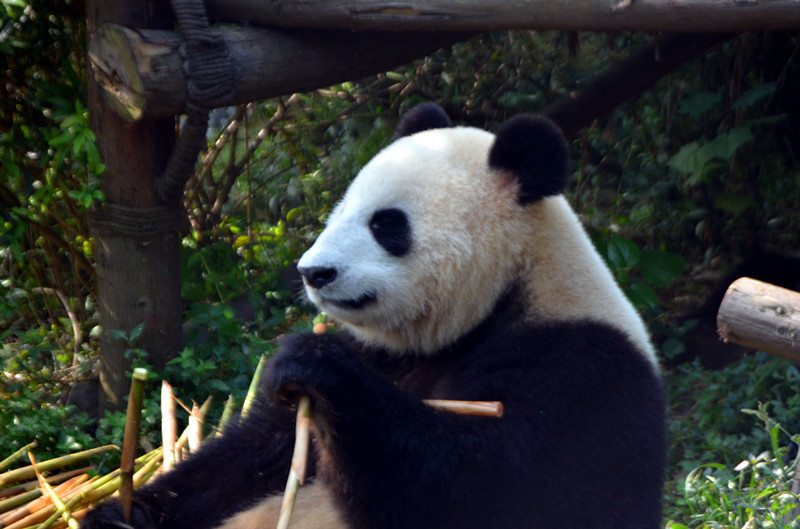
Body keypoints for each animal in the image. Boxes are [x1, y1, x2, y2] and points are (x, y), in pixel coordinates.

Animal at [83, 103, 668, 528]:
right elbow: (252, 457)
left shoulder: (578, 370)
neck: (506, 294)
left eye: (387, 224)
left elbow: (482, 490)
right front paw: (119, 514)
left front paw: (312, 362)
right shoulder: (382, 351)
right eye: (340, 210)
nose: (313, 272)